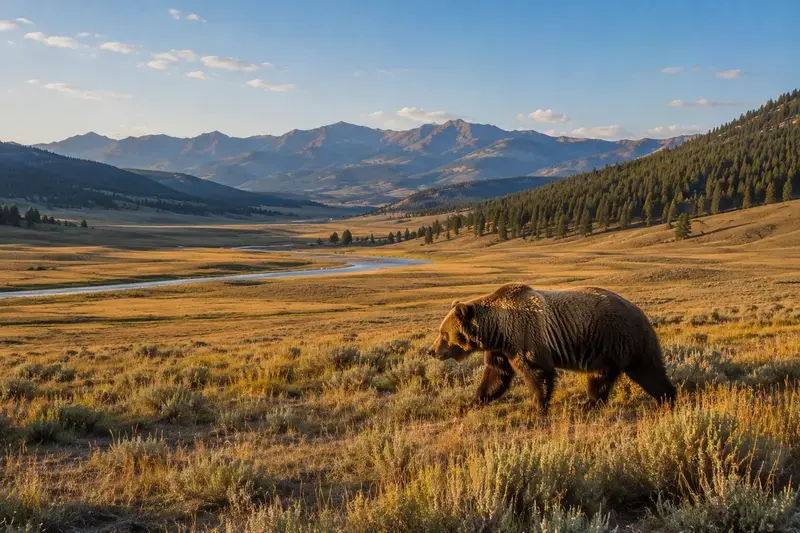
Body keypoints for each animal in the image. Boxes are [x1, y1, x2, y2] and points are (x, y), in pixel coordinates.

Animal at [428, 283, 676, 413]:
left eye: (443, 333)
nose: (431, 351)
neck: (497, 329)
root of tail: (639, 311)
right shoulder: (501, 349)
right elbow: (496, 376)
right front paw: (472, 401)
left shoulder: (525, 336)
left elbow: (537, 371)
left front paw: (537, 404)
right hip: (607, 349)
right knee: (603, 376)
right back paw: (591, 403)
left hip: (619, 337)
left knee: (646, 370)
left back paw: (666, 398)